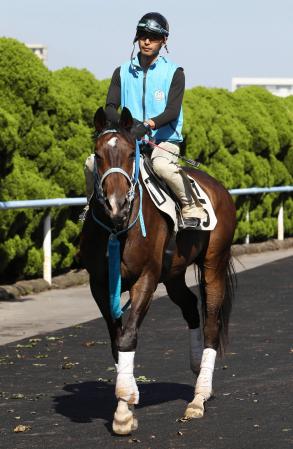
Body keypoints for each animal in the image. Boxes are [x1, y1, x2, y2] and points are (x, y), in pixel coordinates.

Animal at [80, 106, 235, 434]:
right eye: (98, 155)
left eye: (131, 154)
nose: (116, 205)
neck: (118, 229)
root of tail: (219, 187)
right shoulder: (100, 284)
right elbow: (116, 341)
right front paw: (127, 401)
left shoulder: (146, 280)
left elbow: (128, 336)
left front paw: (123, 412)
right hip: (173, 274)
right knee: (190, 307)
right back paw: (196, 366)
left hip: (213, 264)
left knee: (211, 324)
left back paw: (199, 397)